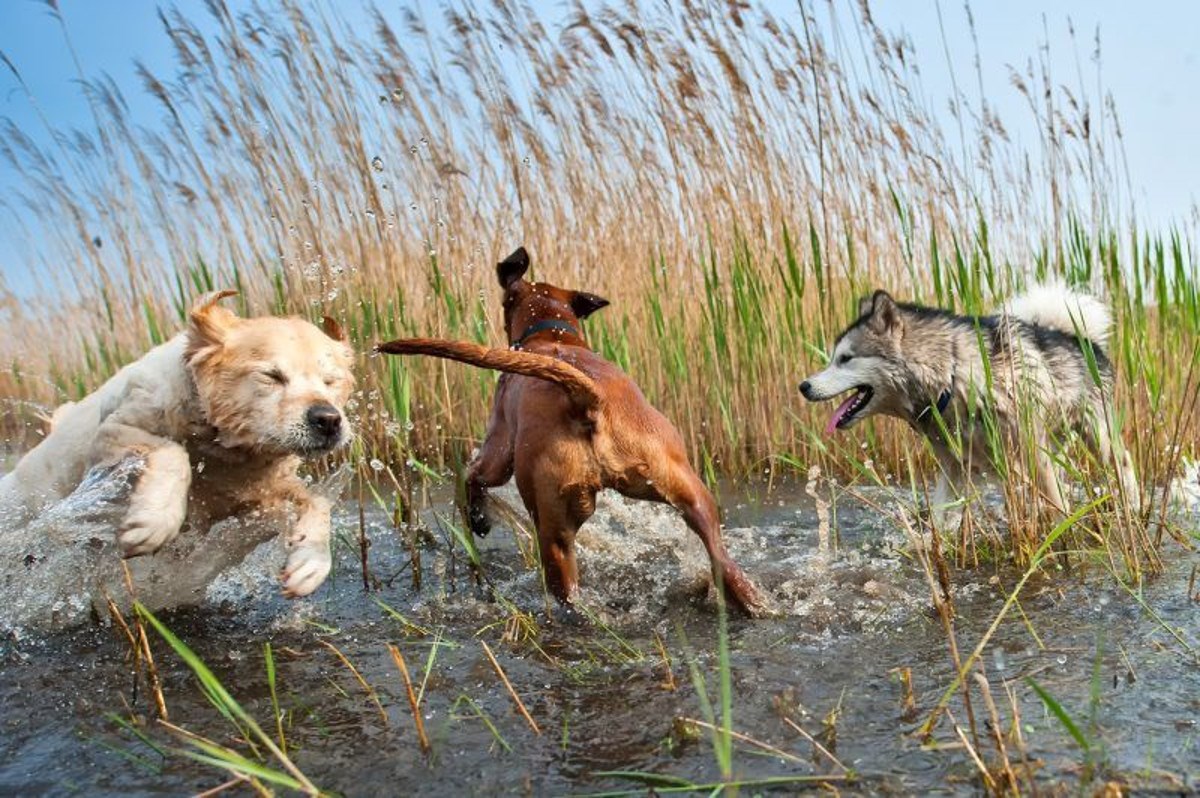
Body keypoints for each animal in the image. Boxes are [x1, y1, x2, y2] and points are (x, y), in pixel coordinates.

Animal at [379, 249, 763, 614]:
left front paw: (478, 518)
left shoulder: (497, 448)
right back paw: (753, 604)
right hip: (690, 494)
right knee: (724, 562)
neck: (552, 336)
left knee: (565, 589)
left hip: (552, 528)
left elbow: (473, 476)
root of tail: (589, 400)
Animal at [801, 283, 1137, 525]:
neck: (953, 377)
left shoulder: (1032, 453)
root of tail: (1079, 337)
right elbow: (941, 516)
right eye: (833, 358)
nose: (803, 386)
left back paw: (1133, 505)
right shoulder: (954, 465)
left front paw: (1064, 534)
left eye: (845, 359)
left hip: (1097, 437)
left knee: (1123, 462)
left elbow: (1057, 505)